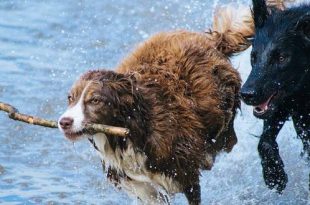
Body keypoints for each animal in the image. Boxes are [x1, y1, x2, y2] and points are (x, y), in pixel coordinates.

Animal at [58, 5, 254, 205]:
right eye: (70, 98)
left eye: (95, 100)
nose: (64, 122)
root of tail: (213, 40)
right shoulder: (142, 187)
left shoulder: (185, 172)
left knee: (226, 138)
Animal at [242, 0, 310, 192]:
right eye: (253, 56)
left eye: (281, 58)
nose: (247, 94)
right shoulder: (285, 103)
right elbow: (264, 142)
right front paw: (274, 174)